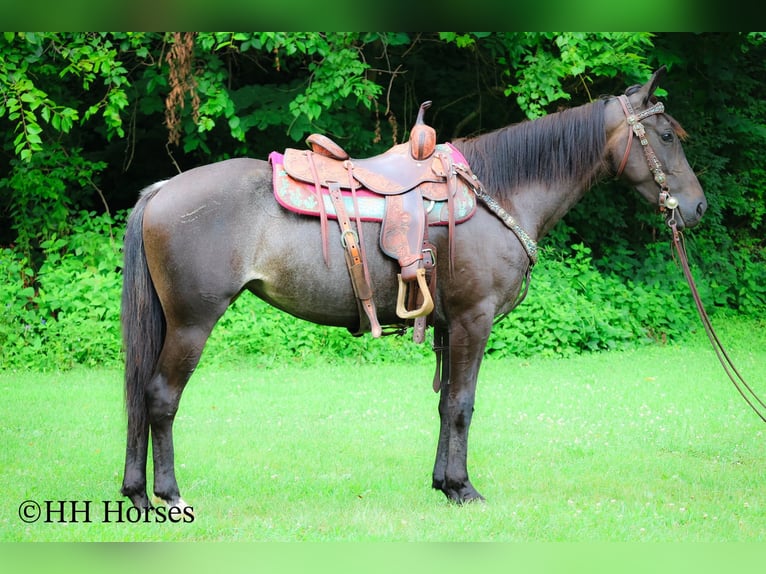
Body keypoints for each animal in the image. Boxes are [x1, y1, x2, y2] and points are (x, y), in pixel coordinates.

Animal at [120, 67, 707, 510]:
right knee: (161, 398)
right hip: (192, 323)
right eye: (667, 136)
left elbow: (445, 403)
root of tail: (161, 190)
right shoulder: (474, 319)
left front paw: (443, 484)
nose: (697, 207)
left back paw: (137, 493)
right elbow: (463, 403)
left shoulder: (450, 326)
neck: (501, 192)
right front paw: (464, 489)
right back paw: (168, 494)